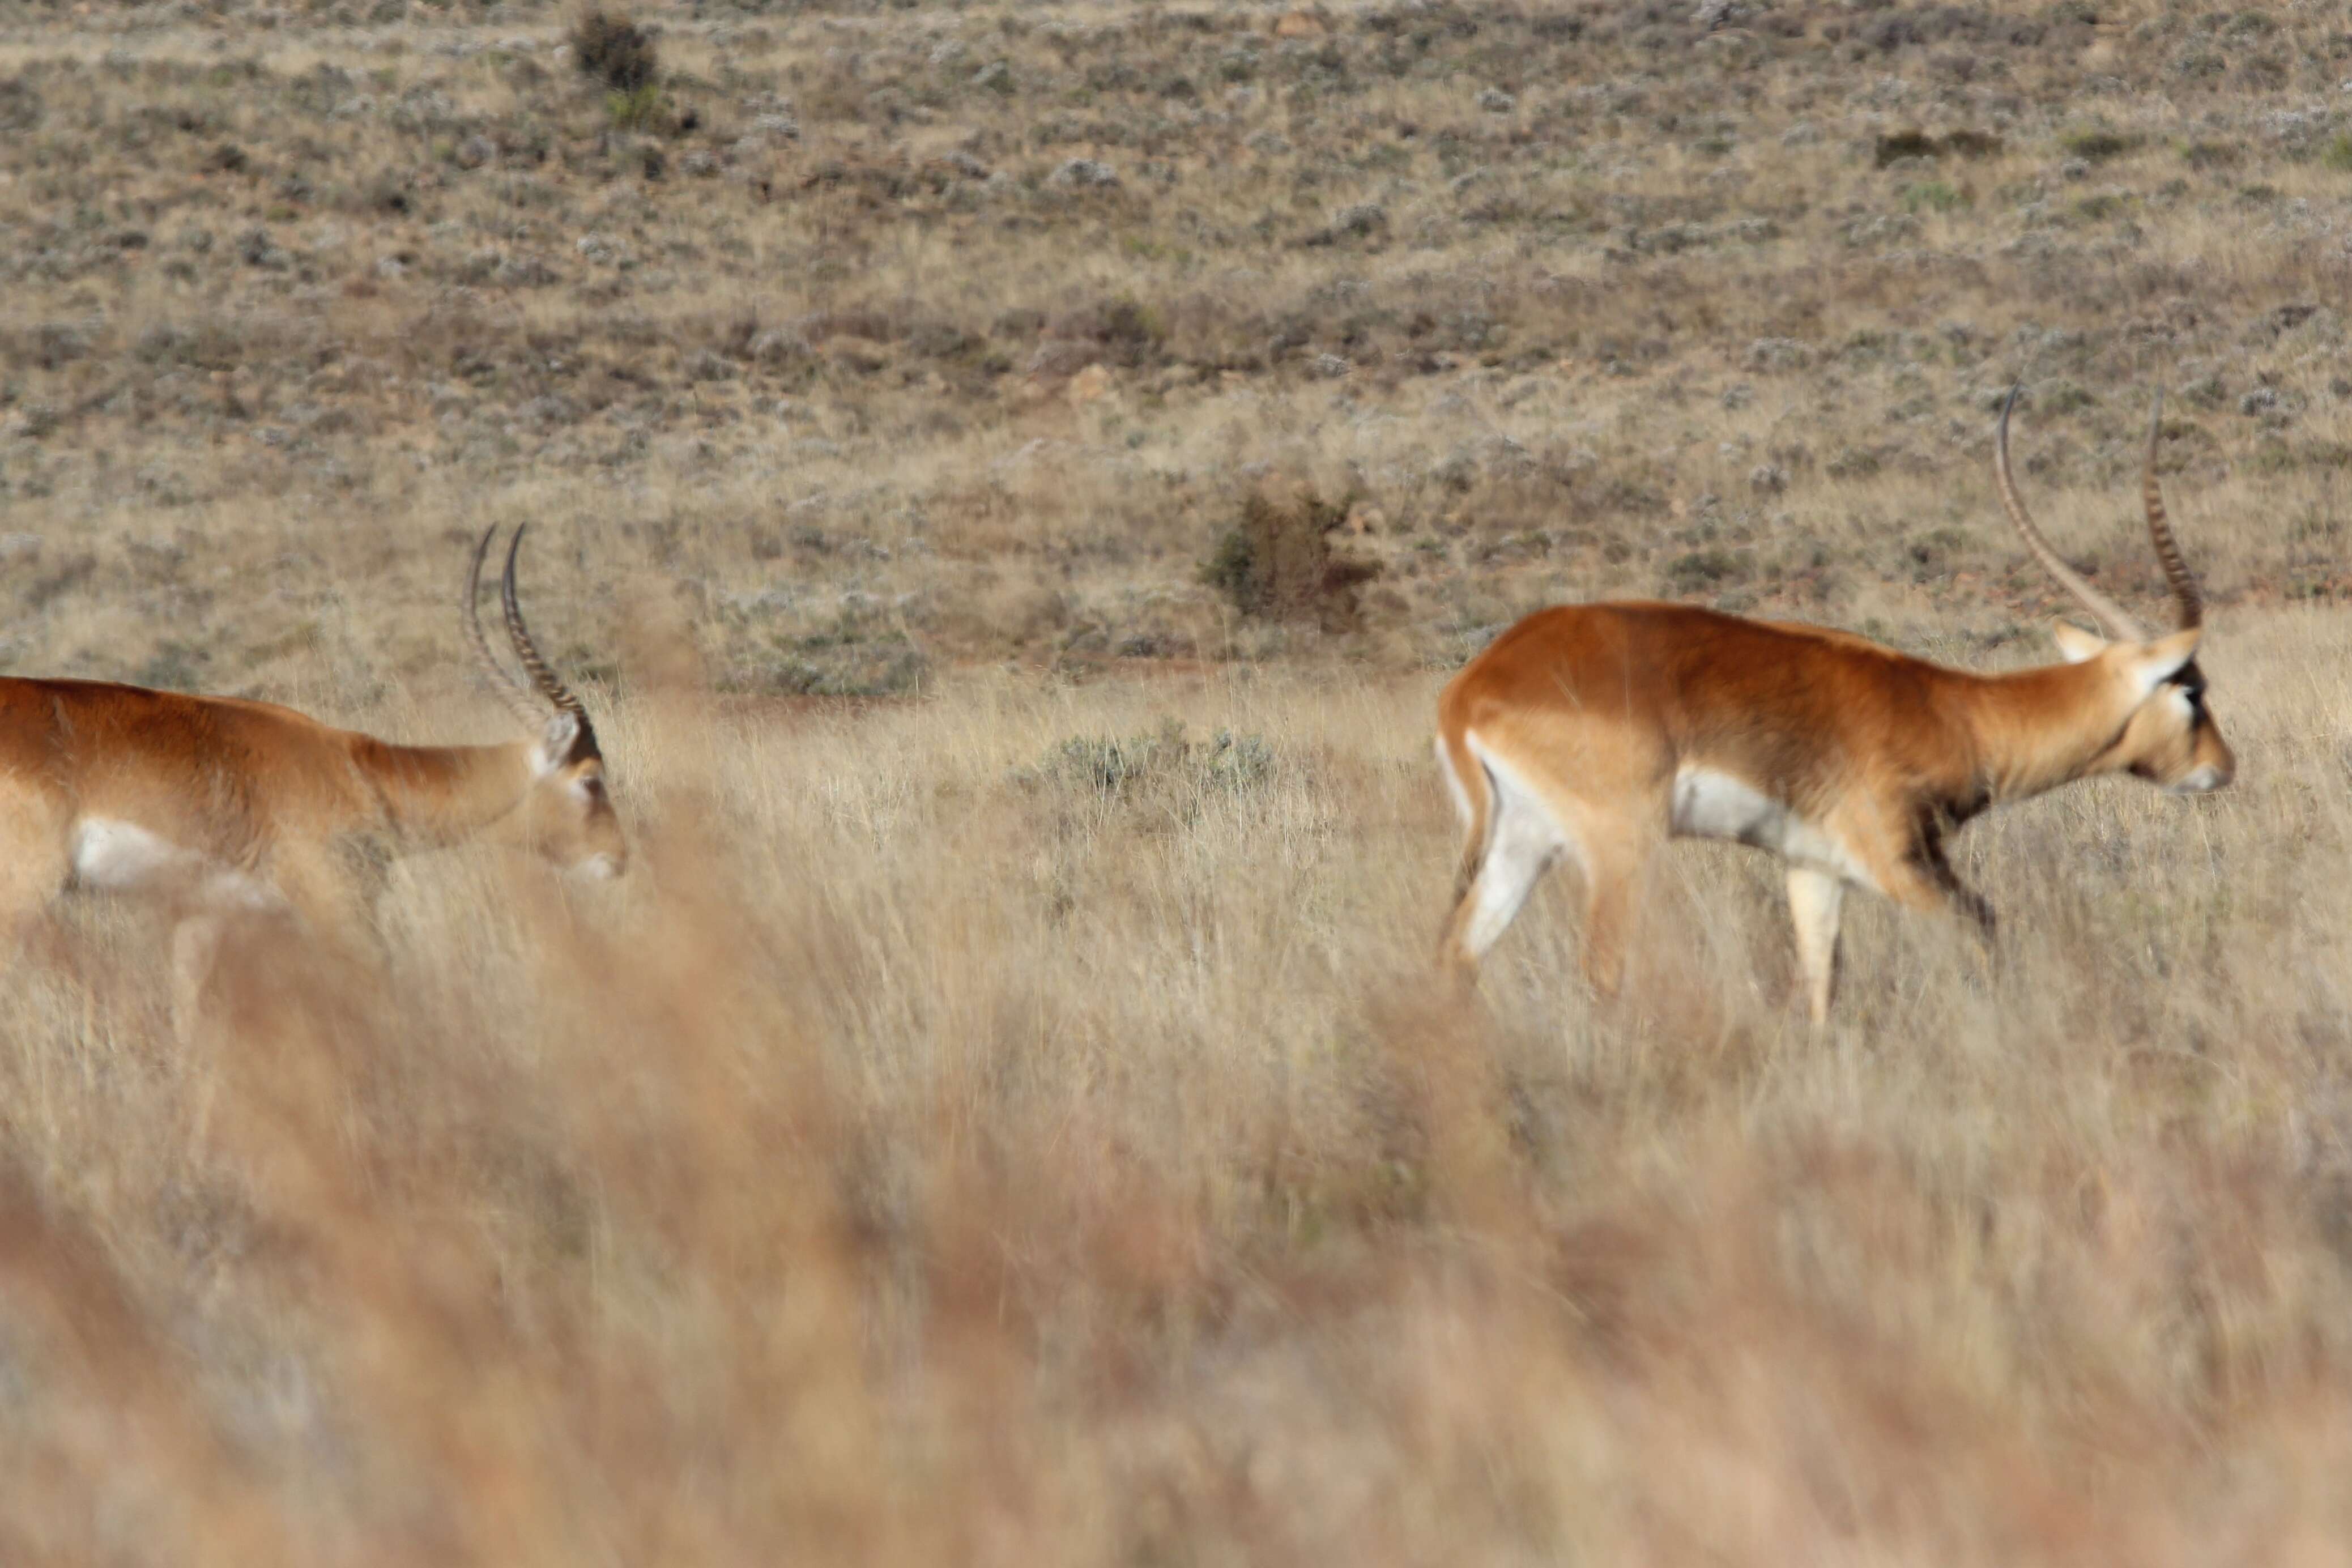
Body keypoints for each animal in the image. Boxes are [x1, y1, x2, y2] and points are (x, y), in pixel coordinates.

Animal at [1439, 385, 2230, 1025]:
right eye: (2192, 689)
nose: (2223, 767)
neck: (1955, 710)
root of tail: (1472, 689)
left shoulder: (1813, 869)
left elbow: (1821, 986)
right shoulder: (1901, 863)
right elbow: (1983, 932)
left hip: (1524, 844)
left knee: (1460, 953)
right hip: (1619, 847)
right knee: (1600, 969)